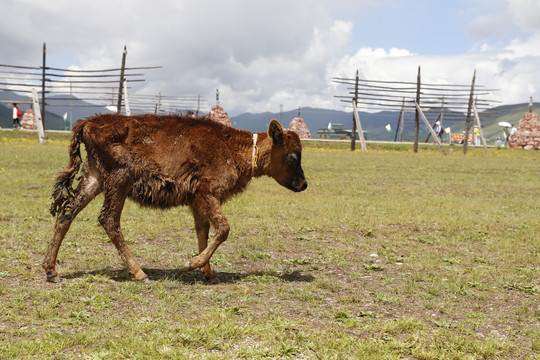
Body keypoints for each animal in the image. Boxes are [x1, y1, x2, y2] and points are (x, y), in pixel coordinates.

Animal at [43, 114, 308, 282]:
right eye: (293, 156)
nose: (304, 184)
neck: (232, 147)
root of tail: (88, 122)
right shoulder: (207, 193)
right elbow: (223, 229)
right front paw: (192, 264)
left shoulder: (197, 202)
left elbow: (204, 232)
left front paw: (208, 273)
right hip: (119, 179)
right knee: (108, 219)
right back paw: (140, 273)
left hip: (95, 178)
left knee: (67, 213)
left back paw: (51, 270)